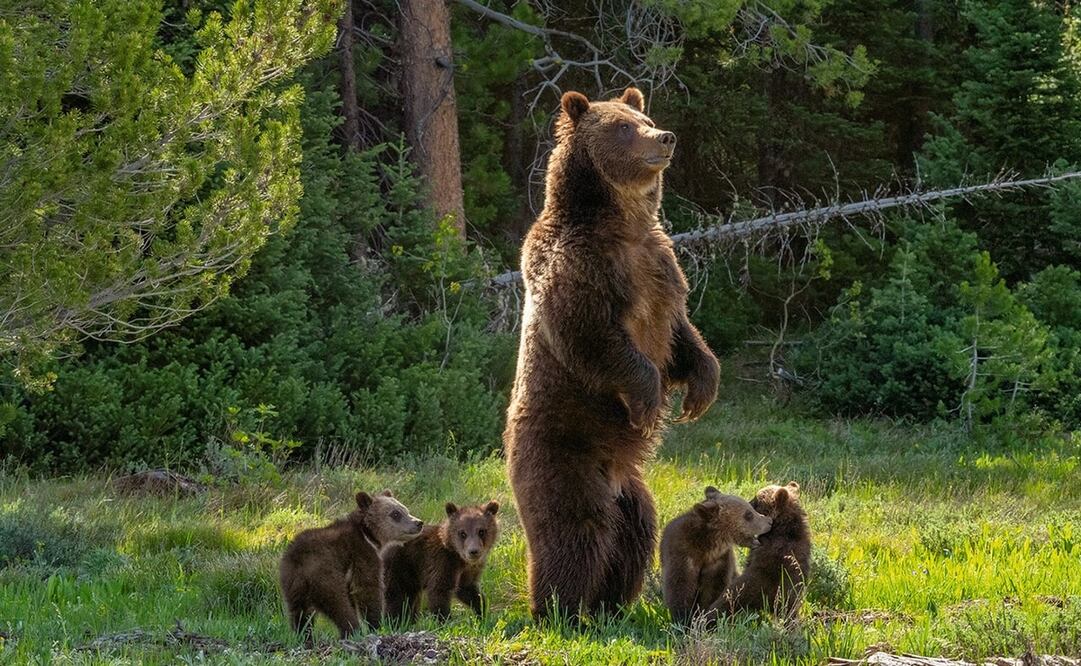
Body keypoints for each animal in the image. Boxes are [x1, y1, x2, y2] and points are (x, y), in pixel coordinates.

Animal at [279, 490, 423, 643]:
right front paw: (376, 624)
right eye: (395, 514)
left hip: (292, 584)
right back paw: (352, 630)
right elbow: (367, 588)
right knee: (339, 605)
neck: (368, 535)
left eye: (405, 509)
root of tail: (300, 563)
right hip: (325, 574)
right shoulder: (361, 554)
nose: (418, 523)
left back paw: (305, 637)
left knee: (299, 614)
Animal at [503, 86, 721, 620]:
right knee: (575, 530)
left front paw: (700, 391)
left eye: (645, 117)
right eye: (623, 128)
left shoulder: (660, 266)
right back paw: (559, 608)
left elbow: (682, 335)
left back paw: (612, 603)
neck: (622, 223)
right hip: (563, 454)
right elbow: (594, 337)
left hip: (632, 490)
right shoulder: (581, 267)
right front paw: (648, 400)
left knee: (635, 531)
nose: (665, 137)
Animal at [660, 486, 773, 626]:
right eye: (748, 514)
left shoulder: (719, 561)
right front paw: (684, 619)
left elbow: (713, 591)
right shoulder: (682, 555)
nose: (769, 521)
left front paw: (704, 617)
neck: (707, 545)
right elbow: (680, 589)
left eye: (751, 507)